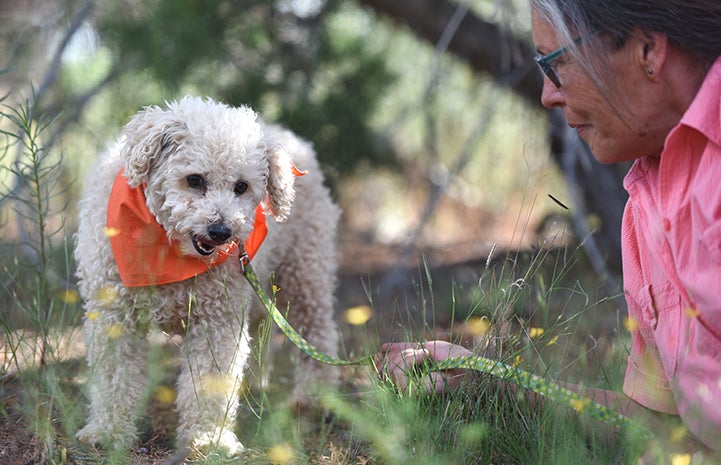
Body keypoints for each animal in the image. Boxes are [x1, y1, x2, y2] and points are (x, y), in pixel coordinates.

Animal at [72, 96, 340, 454]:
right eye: (195, 179)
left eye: (241, 186)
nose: (221, 231)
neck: (171, 253)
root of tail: (292, 139)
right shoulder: (114, 315)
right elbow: (115, 377)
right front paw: (107, 432)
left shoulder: (217, 322)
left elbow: (210, 381)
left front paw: (208, 439)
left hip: (304, 272)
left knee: (318, 333)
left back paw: (314, 401)